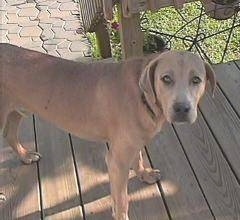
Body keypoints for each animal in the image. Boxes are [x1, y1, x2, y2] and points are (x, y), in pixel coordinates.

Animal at [0, 43, 216, 220]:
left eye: (196, 80)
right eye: (166, 79)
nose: (182, 109)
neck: (142, 95)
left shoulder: (133, 142)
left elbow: (138, 158)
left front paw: (144, 174)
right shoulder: (116, 162)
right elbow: (122, 200)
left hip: (16, 112)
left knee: (10, 135)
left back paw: (25, 155)